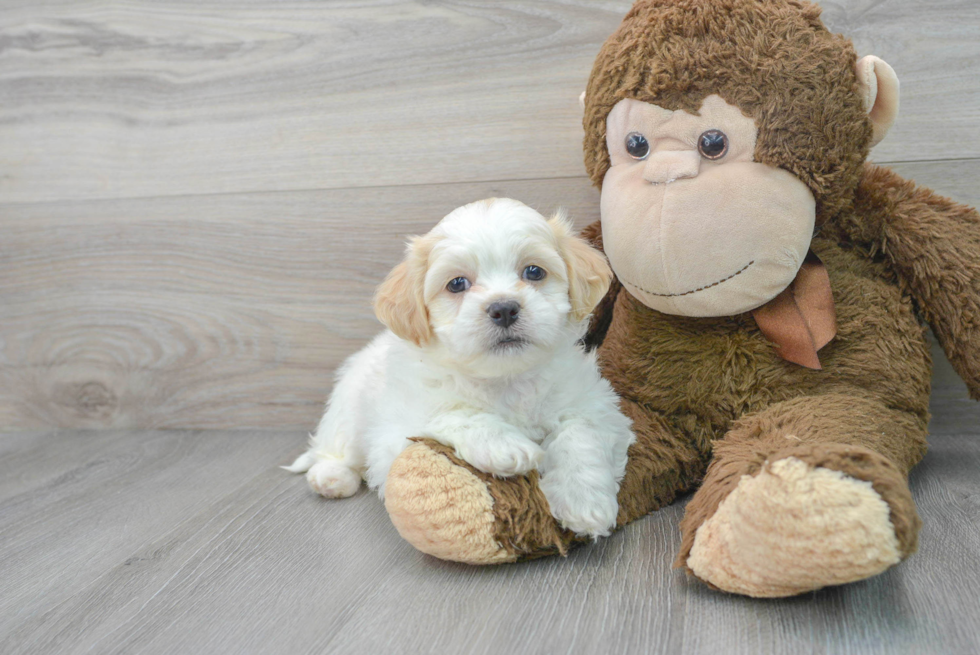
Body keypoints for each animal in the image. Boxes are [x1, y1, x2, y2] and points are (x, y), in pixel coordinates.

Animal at [286, 197, 636, 536]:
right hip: (348, 409)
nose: (504, 309)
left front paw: (584, 501)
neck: (506, 379)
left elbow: (580, 433)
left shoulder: (598, 407)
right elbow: (454, 415)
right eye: (456, 284)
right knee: (334, 448)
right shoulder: (396, 430)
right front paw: (505, 446)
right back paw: (331, 477)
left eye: (534, 272)